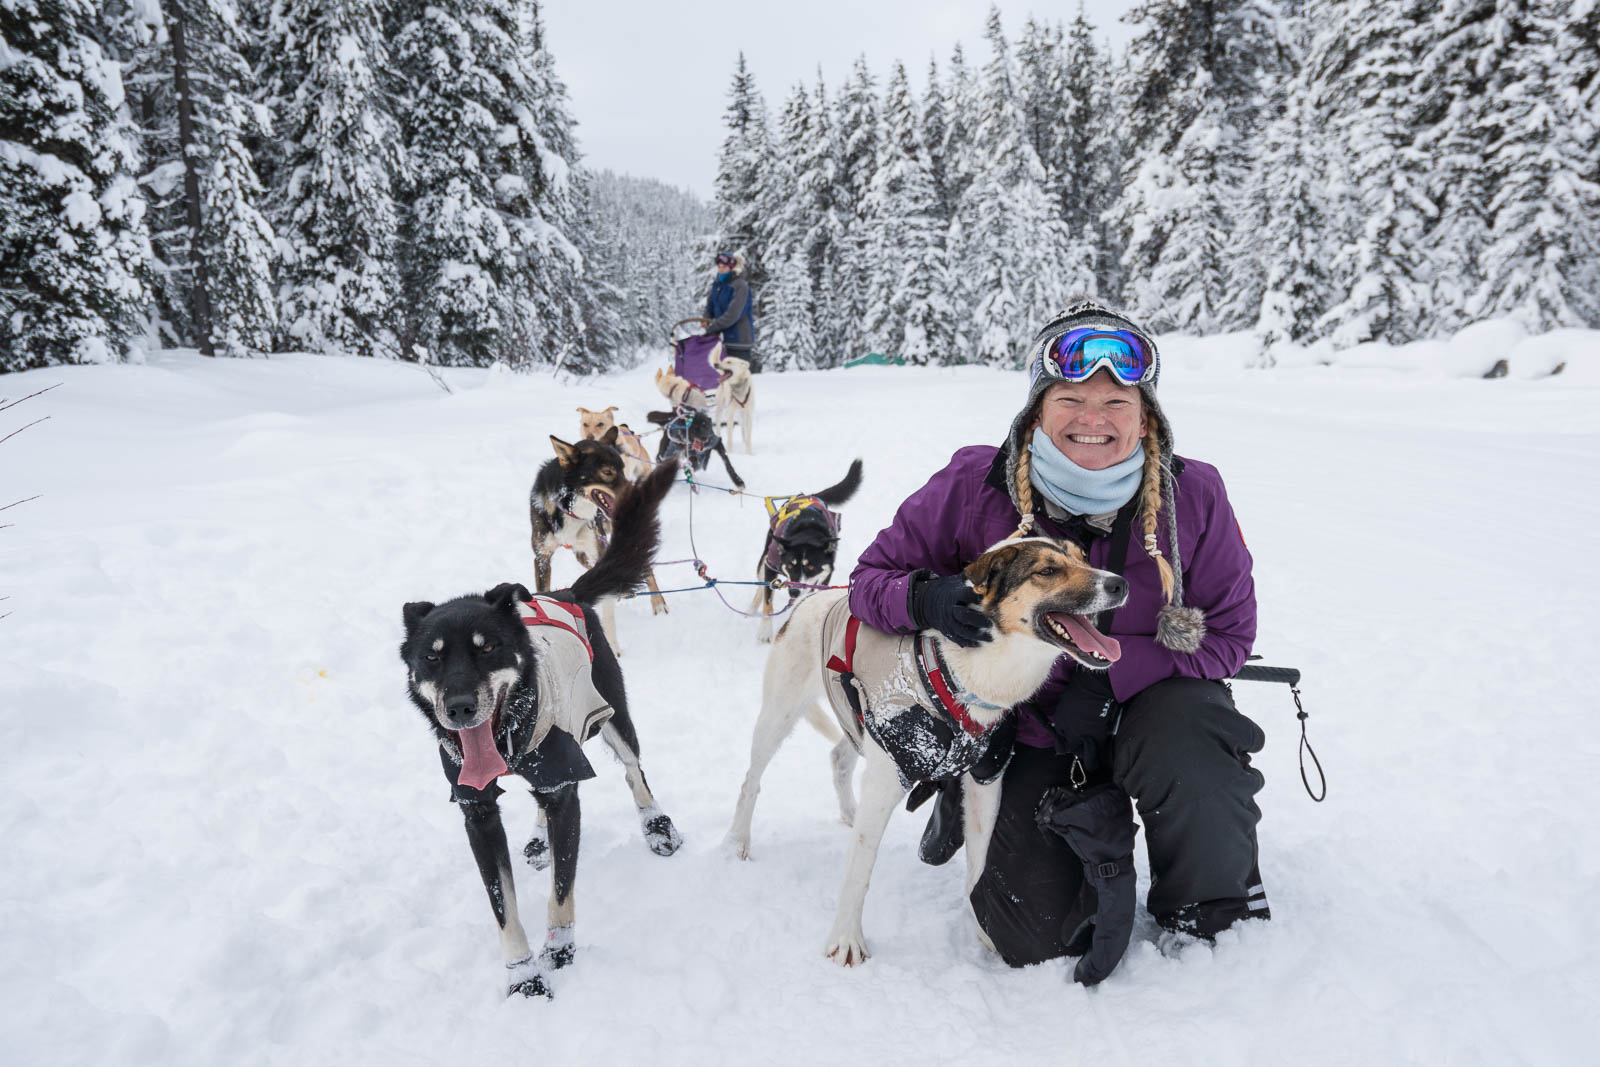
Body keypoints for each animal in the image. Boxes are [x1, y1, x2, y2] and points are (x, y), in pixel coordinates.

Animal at [403, 463, 684, 998]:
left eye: (487, 648)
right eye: (431, 657)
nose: (459, 707)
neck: (507, 740)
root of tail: (566, 593)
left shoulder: (564, 787)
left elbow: (561, 889)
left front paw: (560, 953)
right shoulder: (477, 811)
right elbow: (504, 907)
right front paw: (524, 977)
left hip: (613, 717)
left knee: (635, 771)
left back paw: (658, 827)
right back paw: (538, 839)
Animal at [531, 428, 668, 652]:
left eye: (622, 469)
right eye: (607, 472)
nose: (636, 492)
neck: (572, 511)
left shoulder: (599, 549)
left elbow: (607, 611)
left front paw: (613, 646)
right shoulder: (542, 557)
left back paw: (658, 603)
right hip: (583, 554)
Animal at [726, 537, 1126, 966]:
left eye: (1083, 558)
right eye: (1048, 570)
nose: (1119, 583)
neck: (969, 677)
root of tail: (810, 598)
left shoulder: (986, 781)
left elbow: (980, 863)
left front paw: (982, 929)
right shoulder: (887, 779)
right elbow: (859, 871)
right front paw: (846, 940)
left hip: (858, 727)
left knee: (838, 757)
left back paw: (849, 812)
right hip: (780, 715)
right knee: (751, 780)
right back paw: (737, 842)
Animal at [748, 460, 864, 643]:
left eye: (810, 567)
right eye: (790, 565)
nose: (793, 591)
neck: (808, 529)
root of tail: (810, 496)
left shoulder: (824, 575)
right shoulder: (771, 565)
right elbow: (768, 600)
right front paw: (765, 631)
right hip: (765, 556)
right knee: (761, 585)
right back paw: (751, 610)